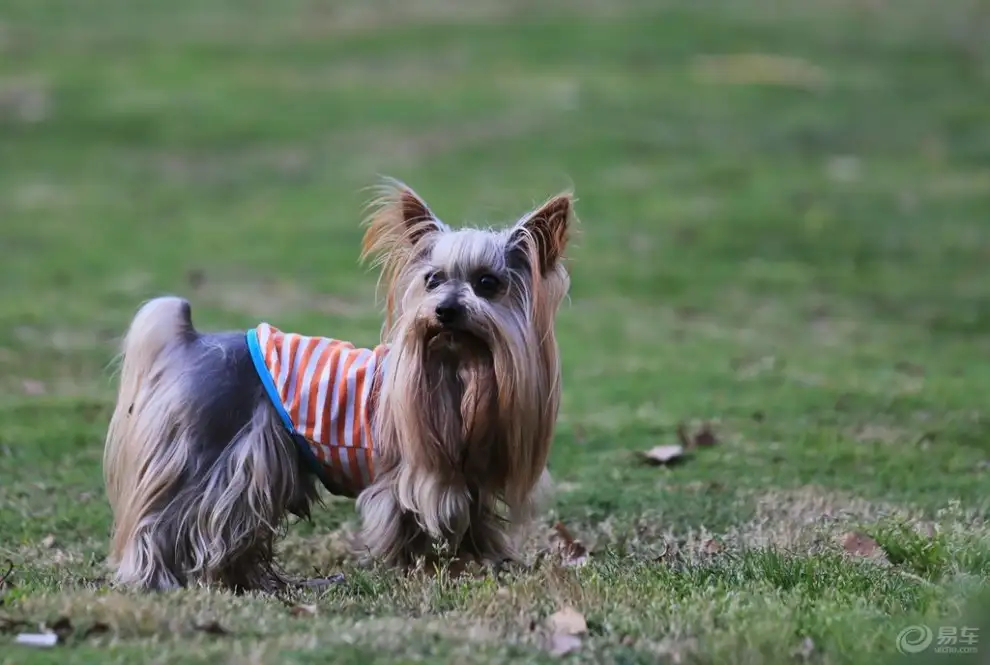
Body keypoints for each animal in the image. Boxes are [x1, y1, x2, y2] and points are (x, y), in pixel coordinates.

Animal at [101, 179, 572, 588]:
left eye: (488, 284)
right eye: (433, 280)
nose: (445, 310)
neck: (461, 364)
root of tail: (192, 340)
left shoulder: (471, 473)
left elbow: (475, 522)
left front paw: (482, 561)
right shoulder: (406, 475)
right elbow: (407, 522)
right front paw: (418, 567)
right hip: (210, 458)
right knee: (167, 521)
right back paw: (158, 578)